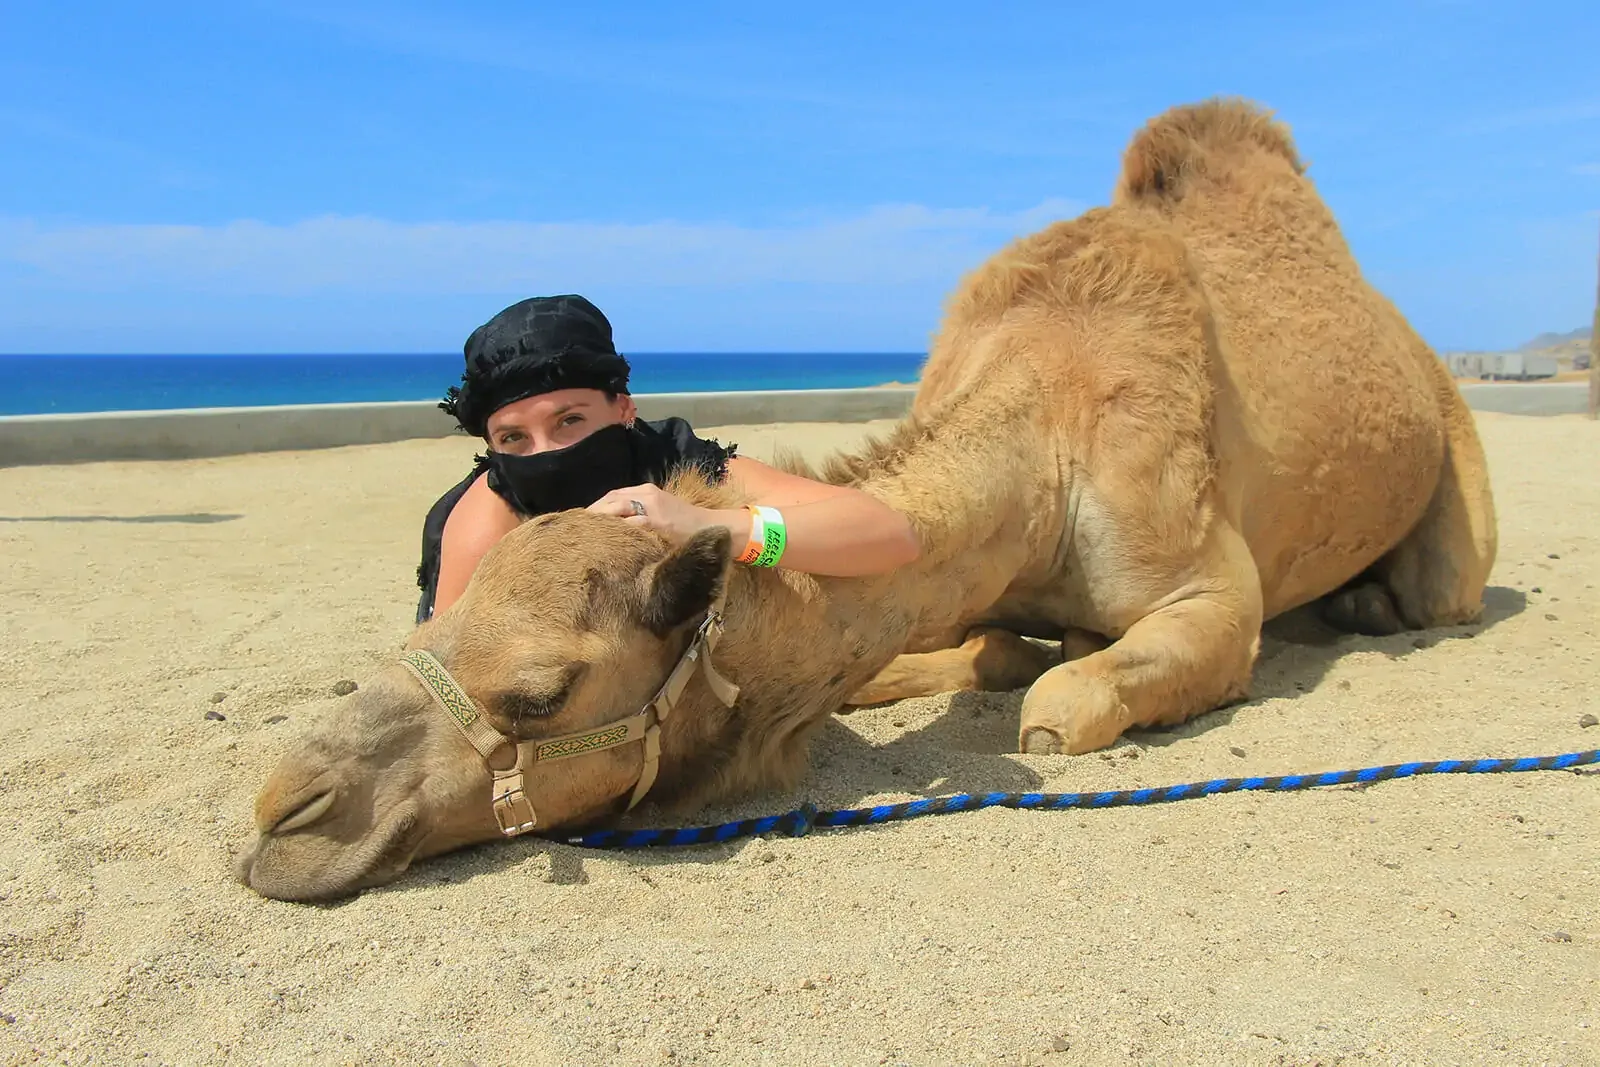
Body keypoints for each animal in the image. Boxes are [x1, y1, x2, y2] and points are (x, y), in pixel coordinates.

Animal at [237, 97, 1496, 901]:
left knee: (1443, 587)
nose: (283, 809)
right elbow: (974, 649)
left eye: (541, 693)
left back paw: (1369, 607)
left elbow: (1062, 698)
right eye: (438, 611)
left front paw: (1054, 683)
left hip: (1451, 453)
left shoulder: (1204, 588)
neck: (1042, 439)